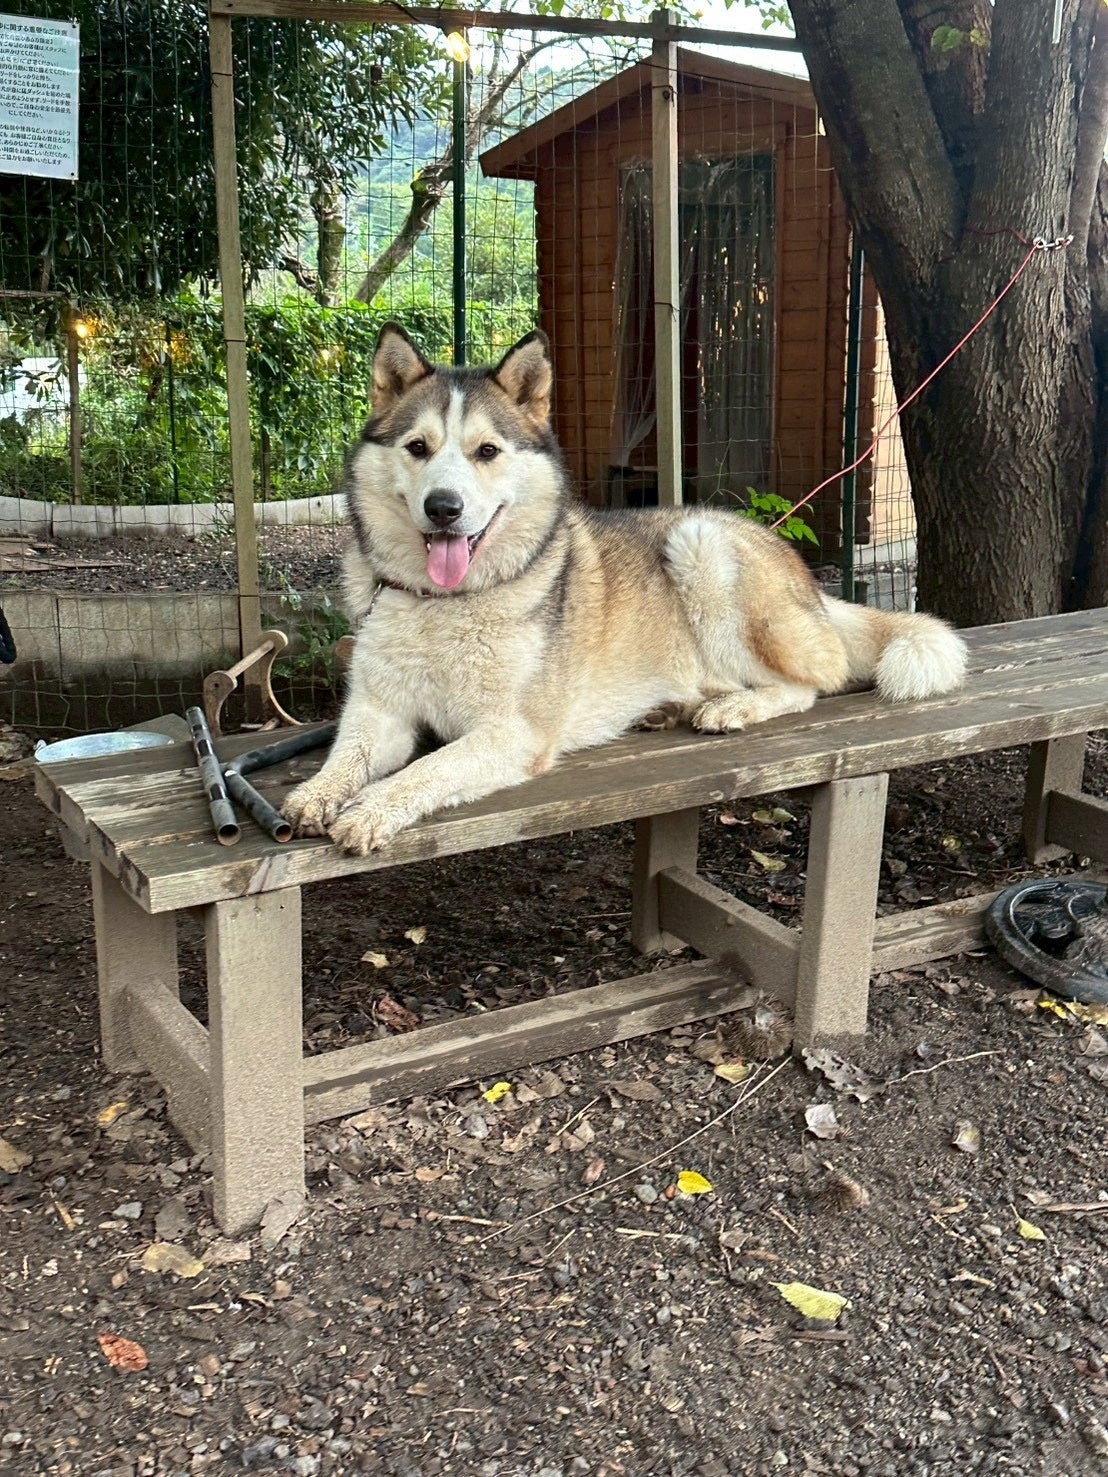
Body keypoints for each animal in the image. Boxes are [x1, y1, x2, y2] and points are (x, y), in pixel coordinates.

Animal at [282, 325, 967, 854]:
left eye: (487, 451)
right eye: (418, 447)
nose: (443, 508)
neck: (445, 604)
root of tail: (807, 580)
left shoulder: (513, 732)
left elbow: (430, 766)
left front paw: (371, 809)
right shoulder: (380, 713)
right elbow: (347, 755)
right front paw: (315, 794)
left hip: (701, 547)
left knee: (811, 684)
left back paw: (733, 707)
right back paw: (671, 707)